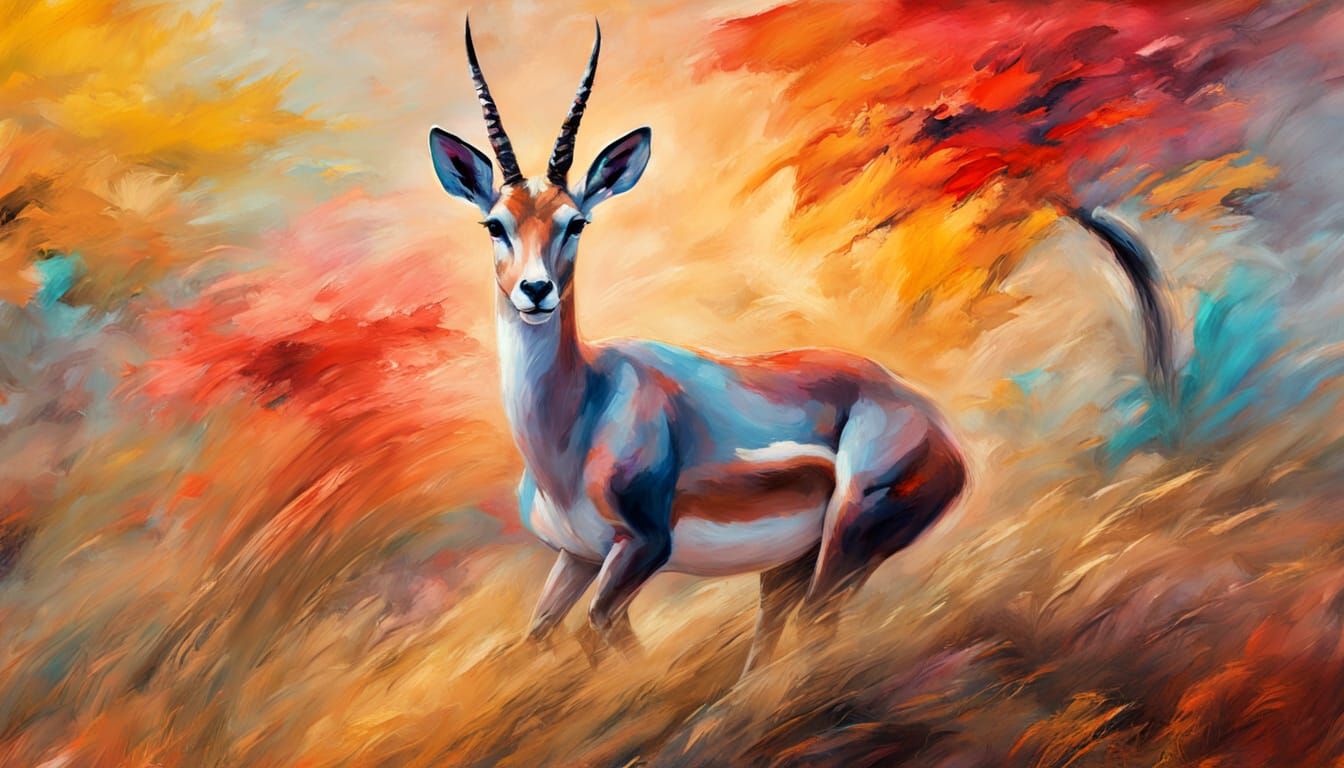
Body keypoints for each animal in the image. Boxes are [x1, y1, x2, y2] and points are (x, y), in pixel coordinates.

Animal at [429, 21, 1173, 676]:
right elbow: (541, 635)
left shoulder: (642, 548)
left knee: (818, 630)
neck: (577, 417)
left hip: (848, 537)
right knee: (778, 640)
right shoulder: (576, 557)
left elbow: (602, 634)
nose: (536, 290)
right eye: (494, 223)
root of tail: (933, 420)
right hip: (787, 565)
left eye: (576, 221)